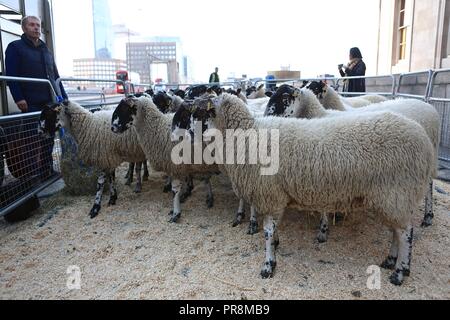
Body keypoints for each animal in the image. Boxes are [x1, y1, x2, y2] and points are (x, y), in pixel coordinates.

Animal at [110, 96, 220, 224]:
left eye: (125, 108)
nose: (112, 127)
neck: (157, 127)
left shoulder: (175, 165)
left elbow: (175, 190)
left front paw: (176, 213)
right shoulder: (181, 165)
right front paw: (183, 197)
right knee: (206, 177)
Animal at [192, 92, 434, 284]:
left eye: (203, 113)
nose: (190, 136)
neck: (246, 136)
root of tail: (425, 141)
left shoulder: (269, 194)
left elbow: (268, 232)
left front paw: (268, 265)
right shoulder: (275, 196)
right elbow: (273, 229)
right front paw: (276, 246)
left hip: (395, 192)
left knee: (405, 233)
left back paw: (400, 272)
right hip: (392, 198)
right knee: (397, 231)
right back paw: (390, 260)